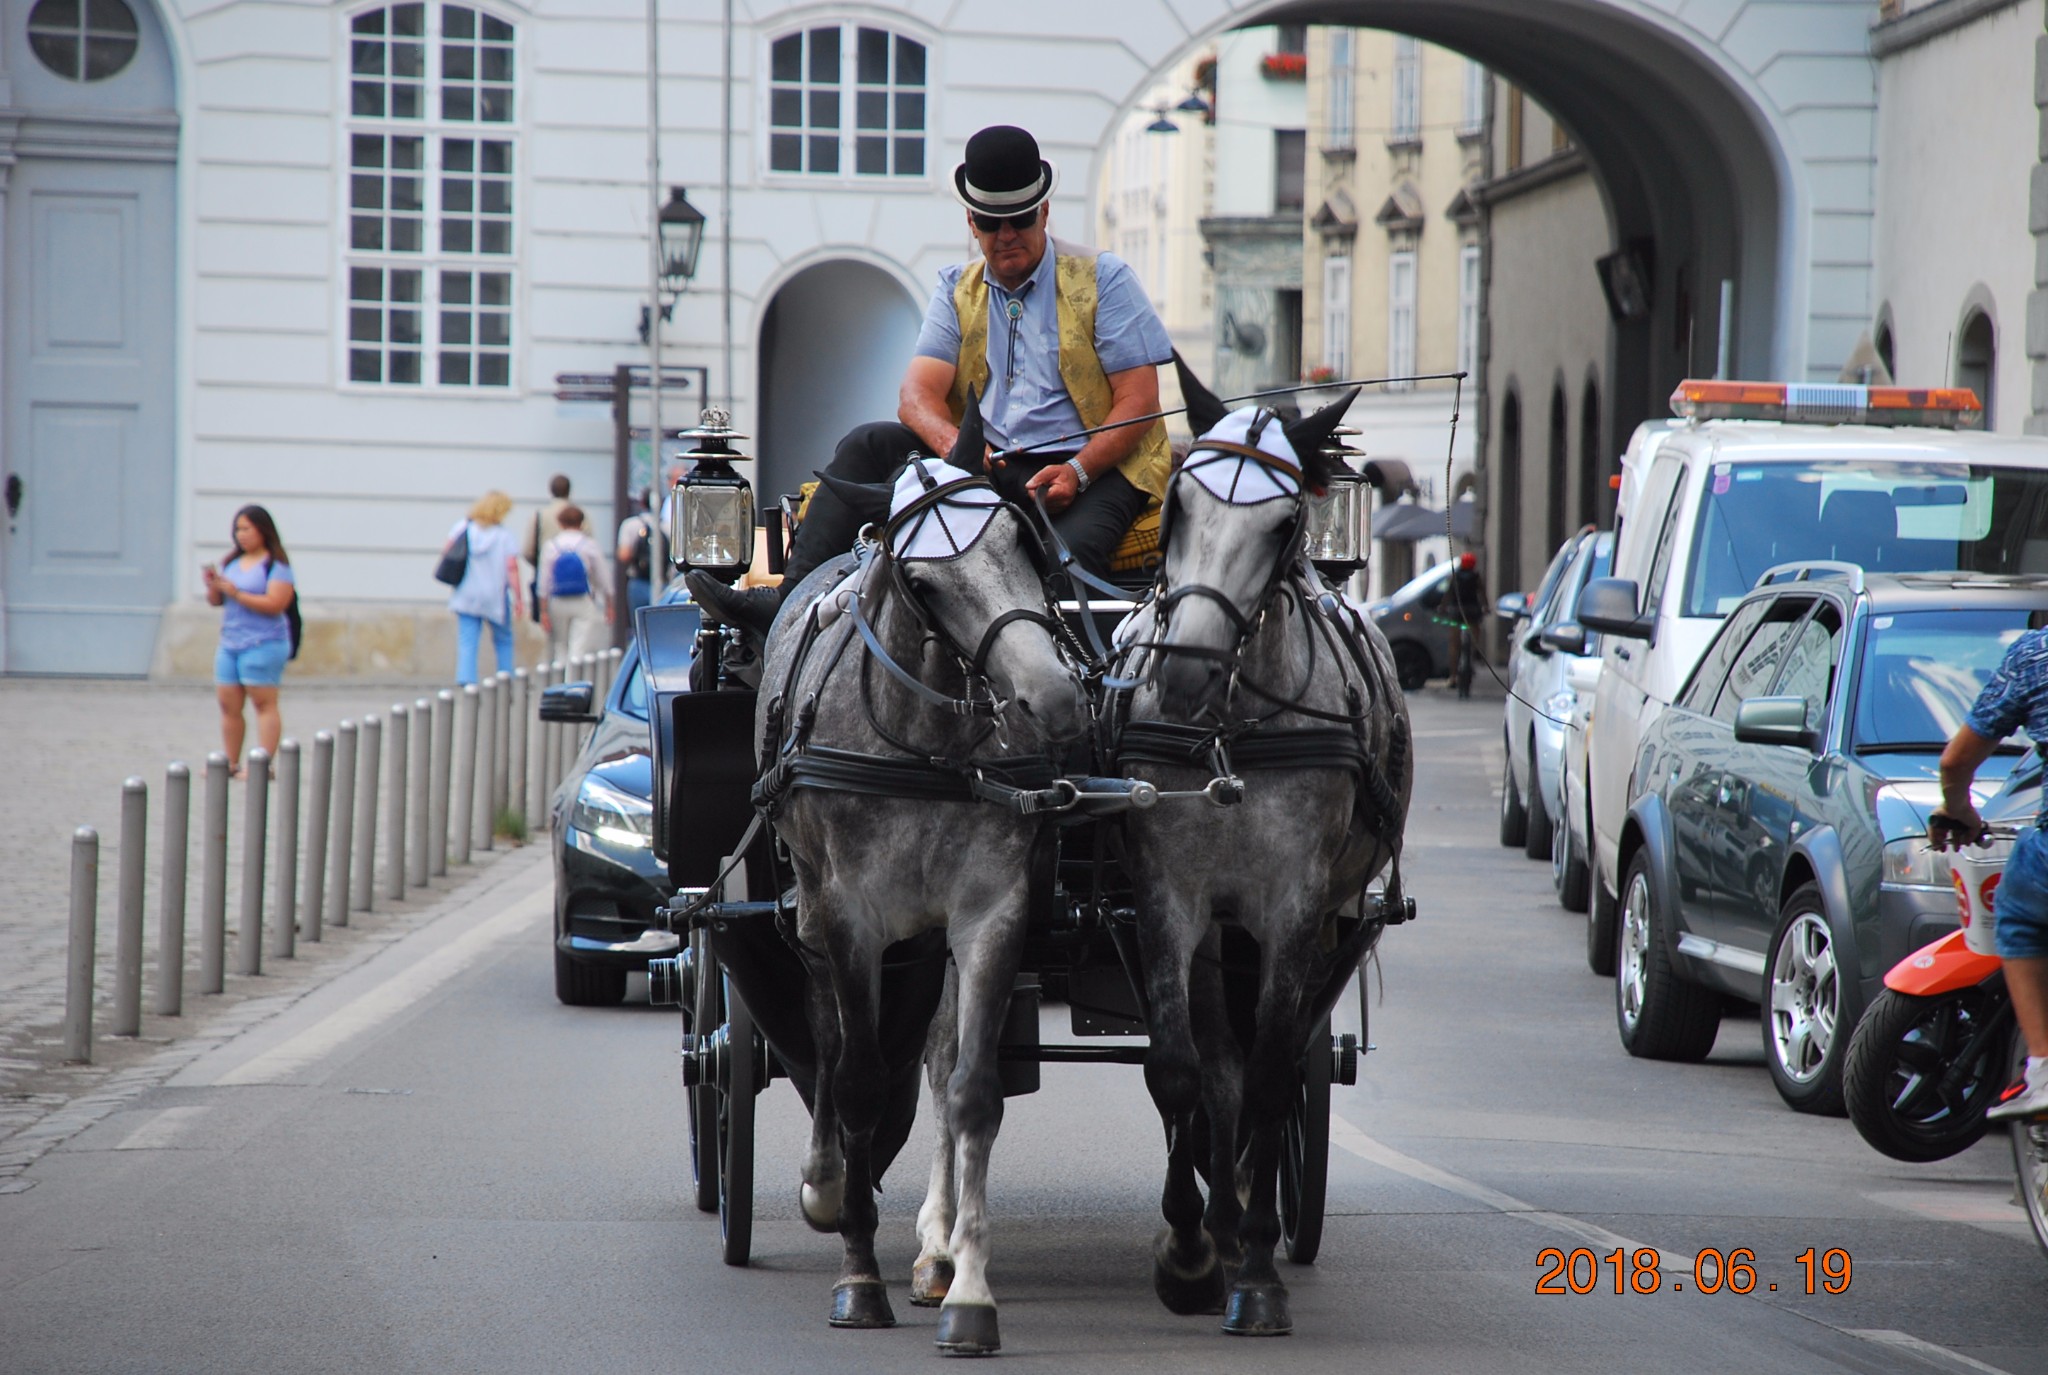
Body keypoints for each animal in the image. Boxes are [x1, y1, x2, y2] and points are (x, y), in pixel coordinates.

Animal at [753, 409, 1089, 1352]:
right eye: (924, 580)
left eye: (1017, 536)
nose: (1055, 698)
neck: (924, 745)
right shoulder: (848, 918)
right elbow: (859, 1079)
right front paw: (858, 1275)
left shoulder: (991, 912)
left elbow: (971, 1089)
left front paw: (970, 1290)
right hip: (814, 916)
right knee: (830, 1042)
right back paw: (829, 1181)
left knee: (935, 1058)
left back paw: (934, 1252)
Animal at [1114, 360, 1417, 1336]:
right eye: (1177, 503)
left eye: (1285, 523)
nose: (1183, 672)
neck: (1231, 732)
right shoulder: (1170, 898)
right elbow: (1182, 1070)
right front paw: (1186, 1251)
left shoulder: (1293, 910)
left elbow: (1276, 1070)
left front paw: (1249, 1267)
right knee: (1219, 1067)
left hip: (1324, 924)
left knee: (1263, 1067)